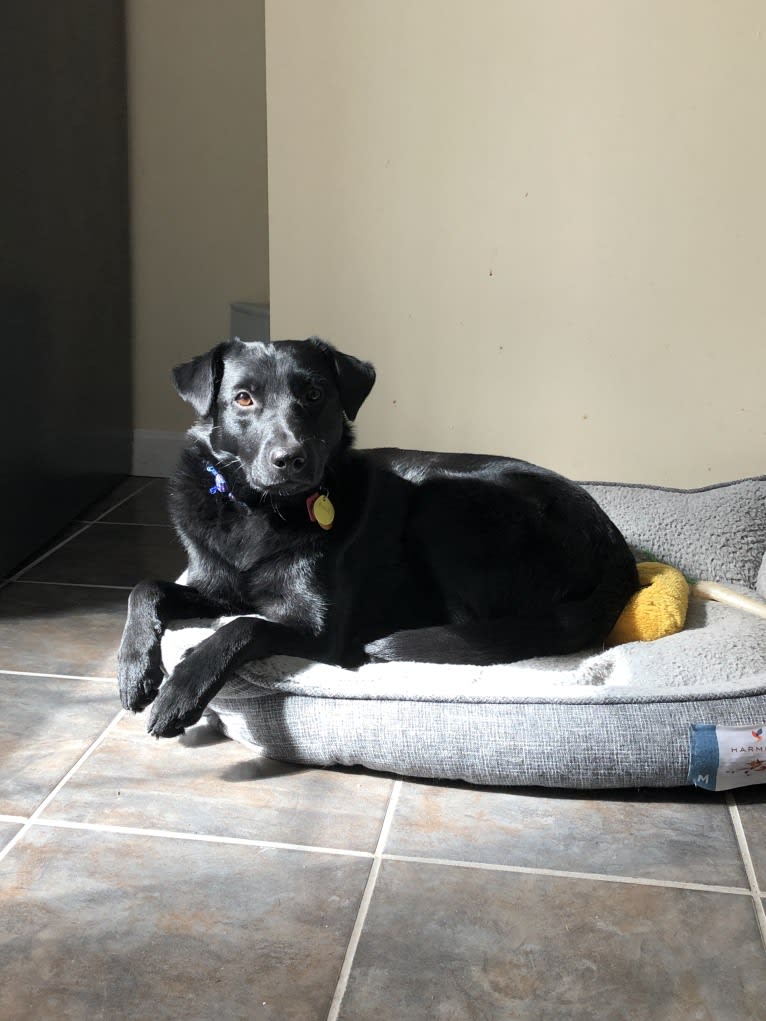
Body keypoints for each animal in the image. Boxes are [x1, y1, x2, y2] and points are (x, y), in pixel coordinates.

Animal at [118, 338, 637, 739]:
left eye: (314, 393)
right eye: (243, 399)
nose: (291, 459)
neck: (262, 509)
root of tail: (615, 548)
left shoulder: (319, 629)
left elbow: (243, 626)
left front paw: (180, 691)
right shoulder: (214, 587)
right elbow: (145, 587)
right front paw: (134, 669)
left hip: (442, 503)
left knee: (468, 629)